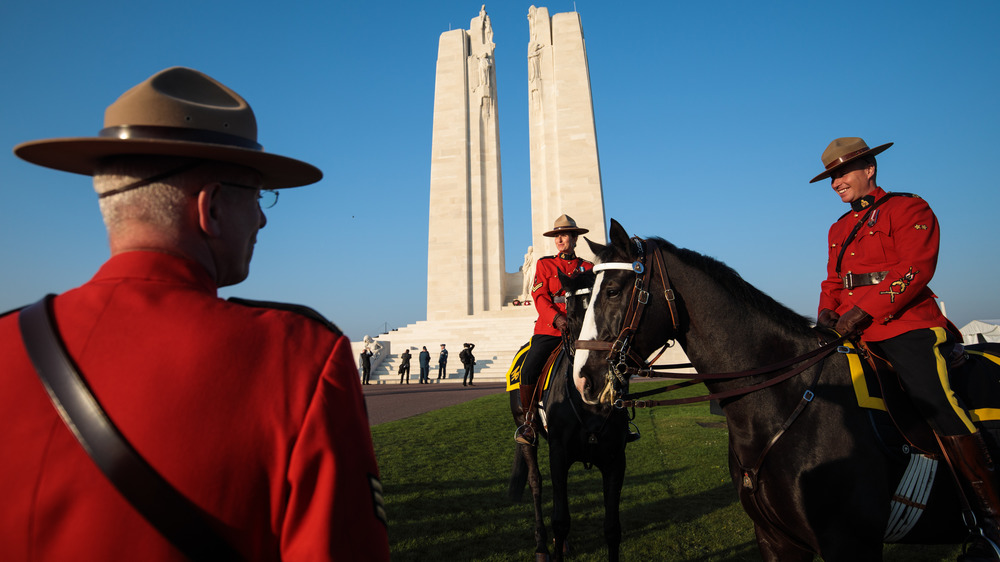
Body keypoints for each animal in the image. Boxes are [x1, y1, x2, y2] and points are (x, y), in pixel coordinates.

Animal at [512, 270, 628, 556]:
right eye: (573, 313)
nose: (591, 377)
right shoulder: (559, 453)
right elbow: (561, 519)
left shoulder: (615, 459)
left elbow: (612, 528)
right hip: (526, 431)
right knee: (535, 482)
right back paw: (542, 545)